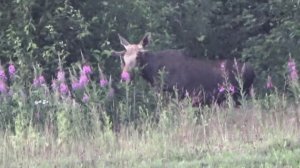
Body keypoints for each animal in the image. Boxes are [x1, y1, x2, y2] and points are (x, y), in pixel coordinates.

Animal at [112, 33, 255, 105]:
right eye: (124, 57)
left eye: (138, 56)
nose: (124, 77)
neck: (153, 75)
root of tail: (253, 71)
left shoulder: (178, 94)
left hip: (240, 95)